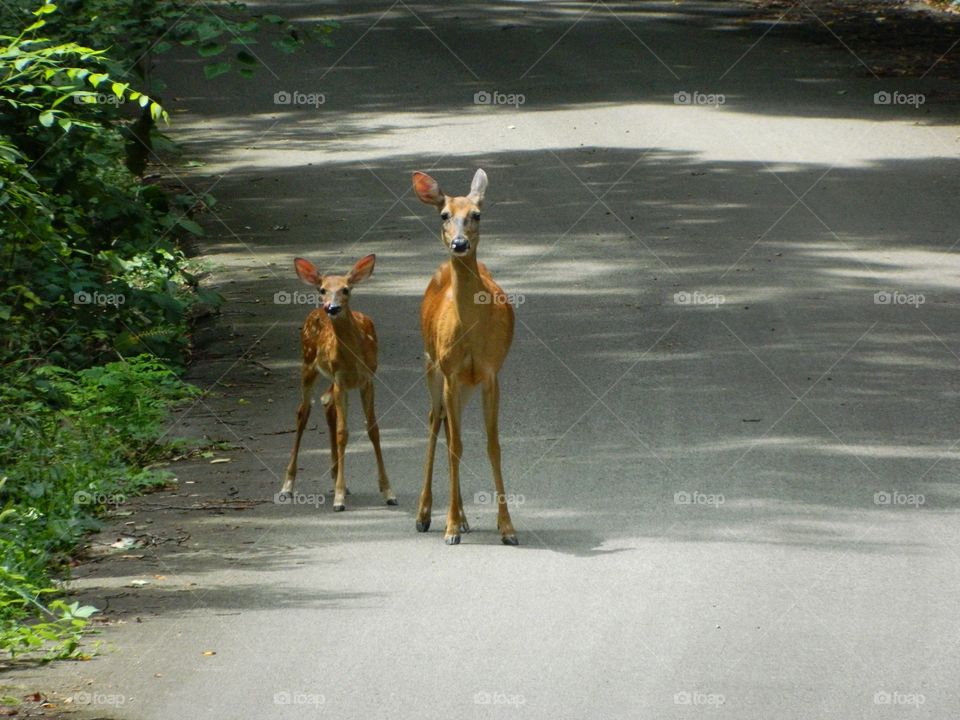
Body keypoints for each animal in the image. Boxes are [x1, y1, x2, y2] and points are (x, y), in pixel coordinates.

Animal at [278, 254, 397, 512]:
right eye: (322, 289)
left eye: (346, 289)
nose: (332, 308)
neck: (354, 356)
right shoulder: (341, 379)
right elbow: (343, 432)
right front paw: (339, 498)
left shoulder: (367, 379)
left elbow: (373, 429)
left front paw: (388, 492)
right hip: (308, 364)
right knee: (303, 411)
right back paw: (288, 485)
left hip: (332, 380)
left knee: (326, 403)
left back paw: (335, 479)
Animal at [411, 168, 518, 546]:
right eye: (444, 215)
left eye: (477, 214)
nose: (459, 244)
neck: (472, 331)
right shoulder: (452, 371)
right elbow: (456, 445)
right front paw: (450, 529)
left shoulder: (490, 373)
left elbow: (493, 445)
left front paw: (507, 528)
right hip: (432, 365)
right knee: (435, 422)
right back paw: (426, 516)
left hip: (463, 386)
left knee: (445, 426)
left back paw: (462, 517)